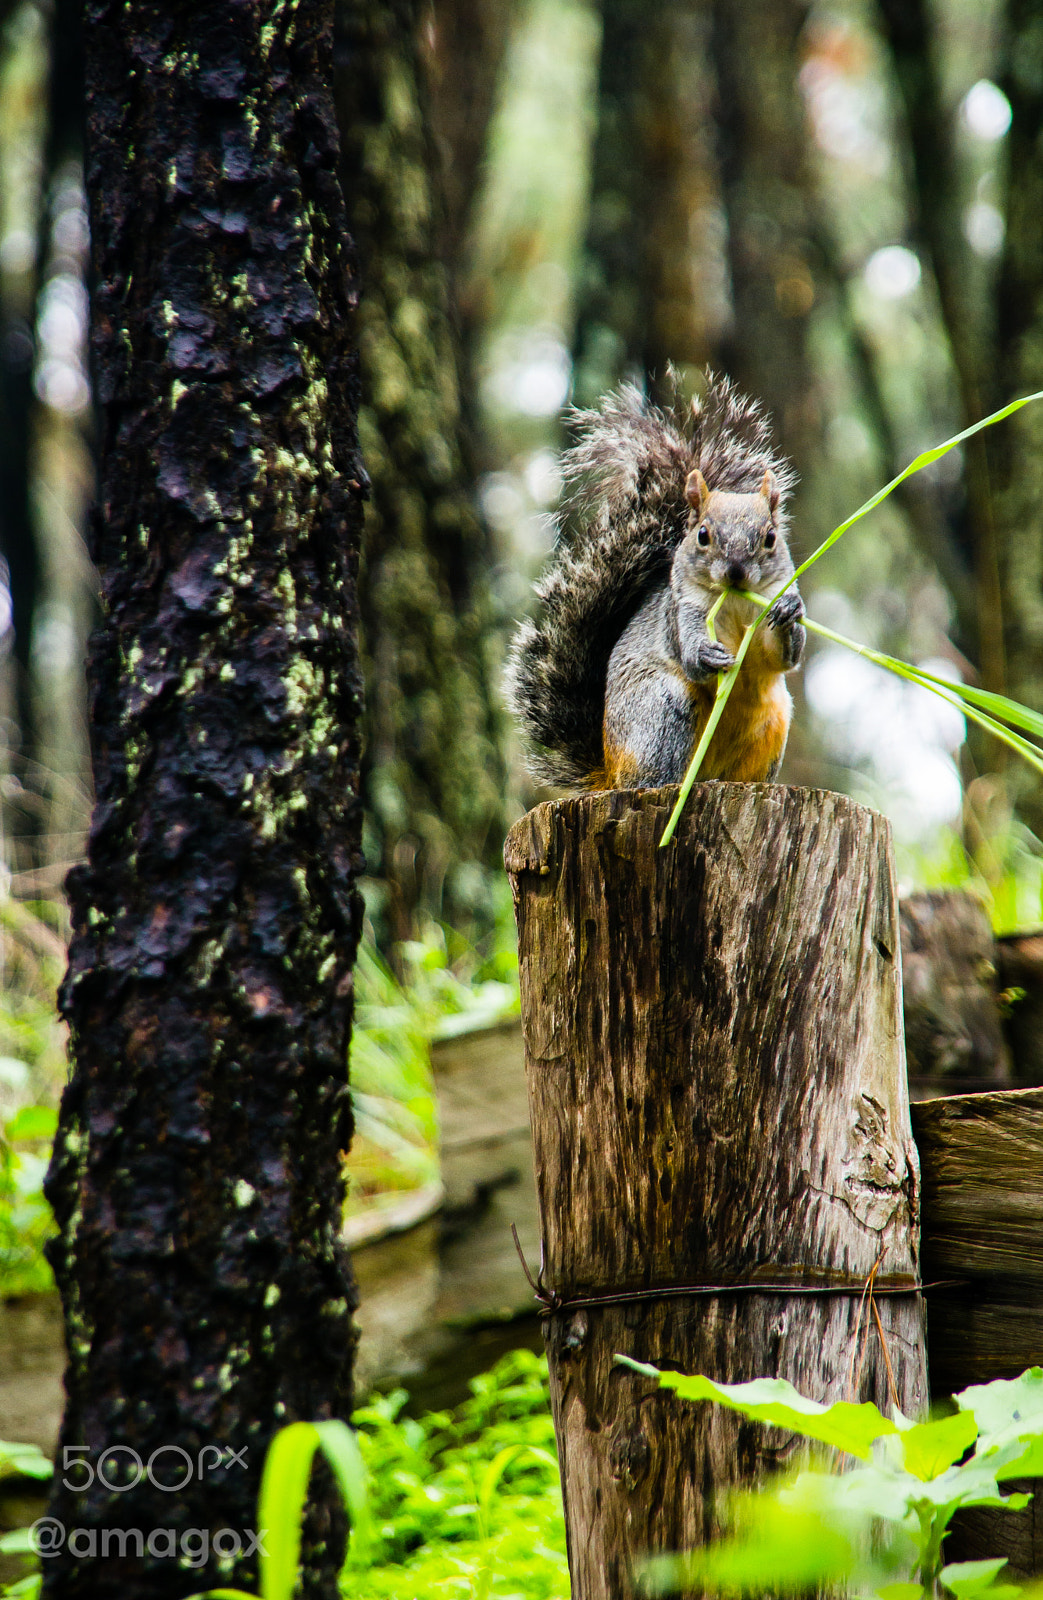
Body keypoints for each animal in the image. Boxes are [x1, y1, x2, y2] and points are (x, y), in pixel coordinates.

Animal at [505, 364, 806, 787]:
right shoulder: (680, 611)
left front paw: (791, 610)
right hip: (660, 708)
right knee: (653, 771)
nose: (735, 571)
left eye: (770, 538)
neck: (734, 602)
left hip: (772, 725)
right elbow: (690, 653)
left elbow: (783, 657)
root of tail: (609, 771)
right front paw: (706, 654)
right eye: (702, 535)